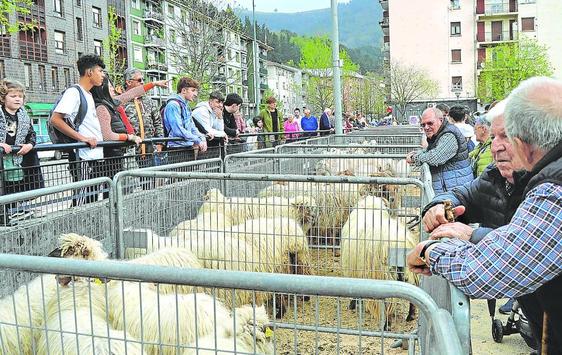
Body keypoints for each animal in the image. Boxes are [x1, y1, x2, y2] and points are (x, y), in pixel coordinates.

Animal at [336, 196, 416, 330]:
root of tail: (398, 242)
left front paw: (352, 304)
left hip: (384, 274)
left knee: (388, 302)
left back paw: (386, 325)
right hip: (410, 272)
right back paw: (411, 316)